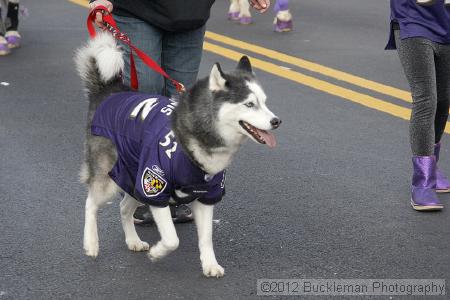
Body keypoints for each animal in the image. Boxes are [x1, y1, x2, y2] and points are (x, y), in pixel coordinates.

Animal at [76, 31, 284, 278]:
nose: (276, 121)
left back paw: (133, 240)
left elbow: (206, 238)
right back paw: (91, 243)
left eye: (265, 102)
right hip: (110, 178)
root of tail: (108, 90)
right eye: (249, 104)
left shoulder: (207, 194)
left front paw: (209, 264)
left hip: (132, 176)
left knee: (123, 208)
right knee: (90, 203)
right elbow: (172, 239)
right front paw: (157, 253)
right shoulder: (155, 185)